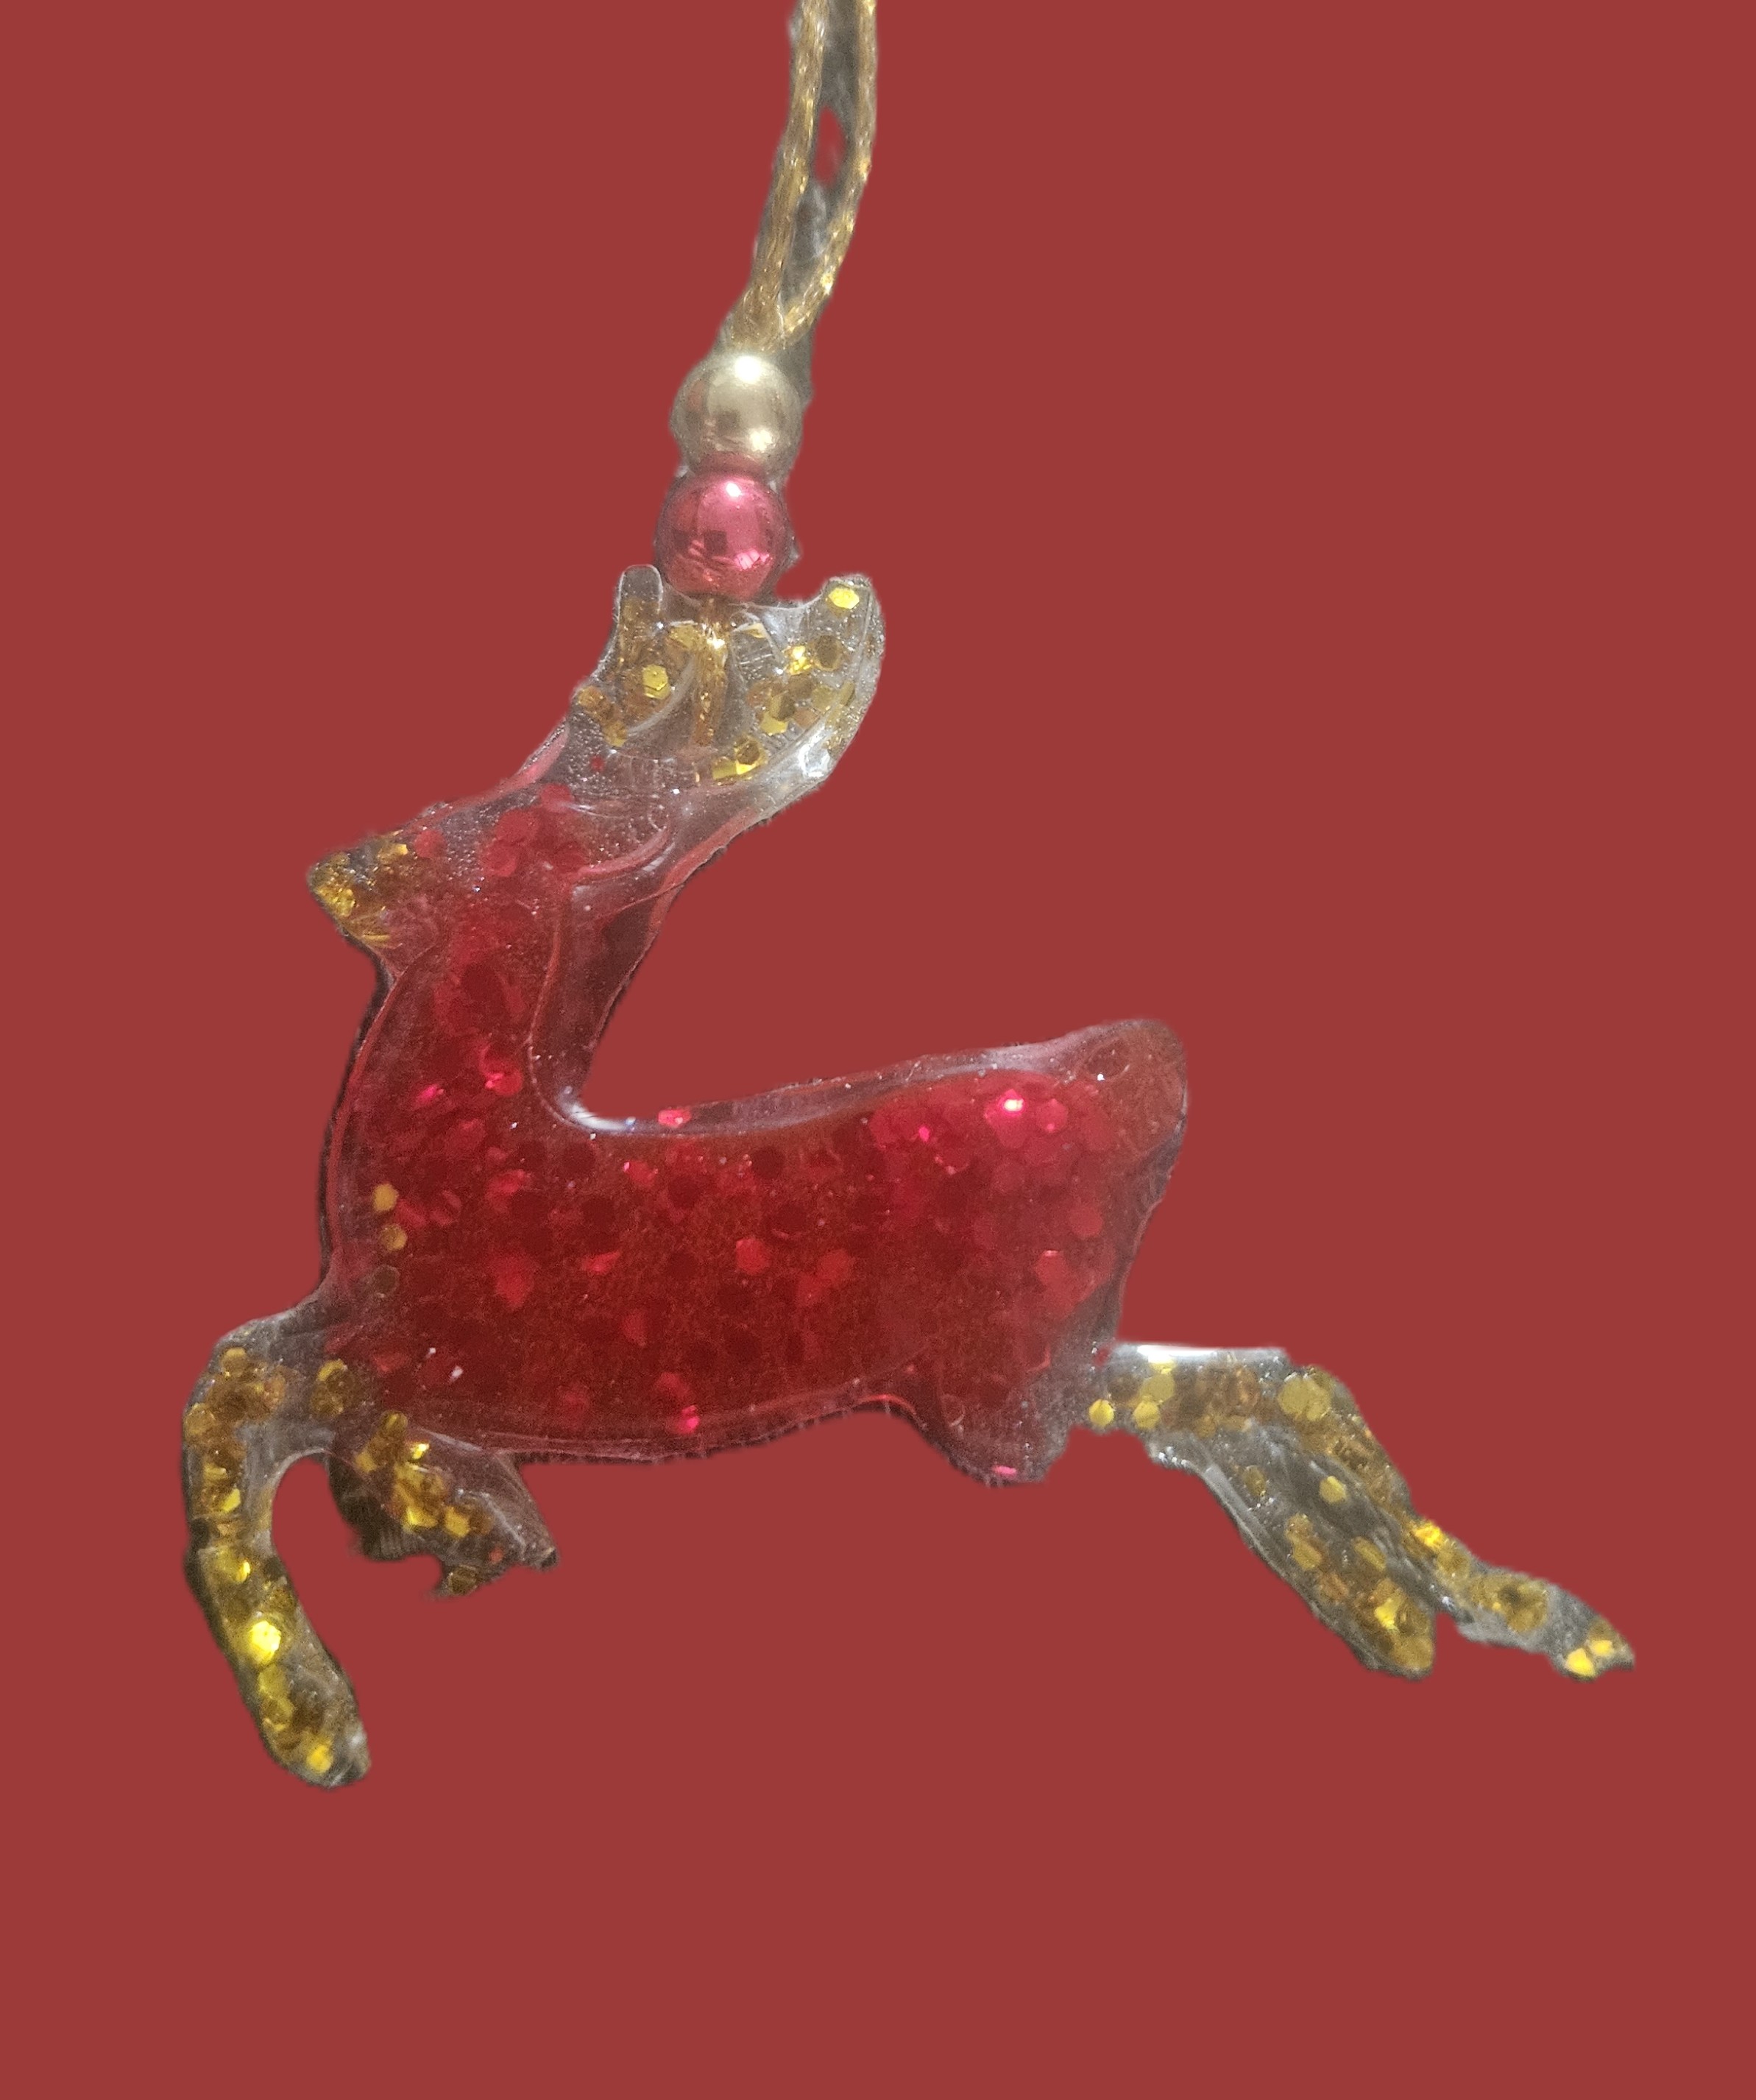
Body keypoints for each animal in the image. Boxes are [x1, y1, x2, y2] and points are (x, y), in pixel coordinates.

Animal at [183, 565, 1632, 1786]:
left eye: (470, 831)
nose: (341, 874)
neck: (448, 1145)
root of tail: (1138, 1081)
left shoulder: (412, 1334)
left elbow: (229, 1390)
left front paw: (318, 1699)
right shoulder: (391, 1344)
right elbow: (258, 1393)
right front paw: (444, 1521)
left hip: (1012, 1390)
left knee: (1252, 1397)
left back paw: (1461, 1607)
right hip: (1040, 1365)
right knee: (1284, 1388)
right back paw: (1456, 1612)